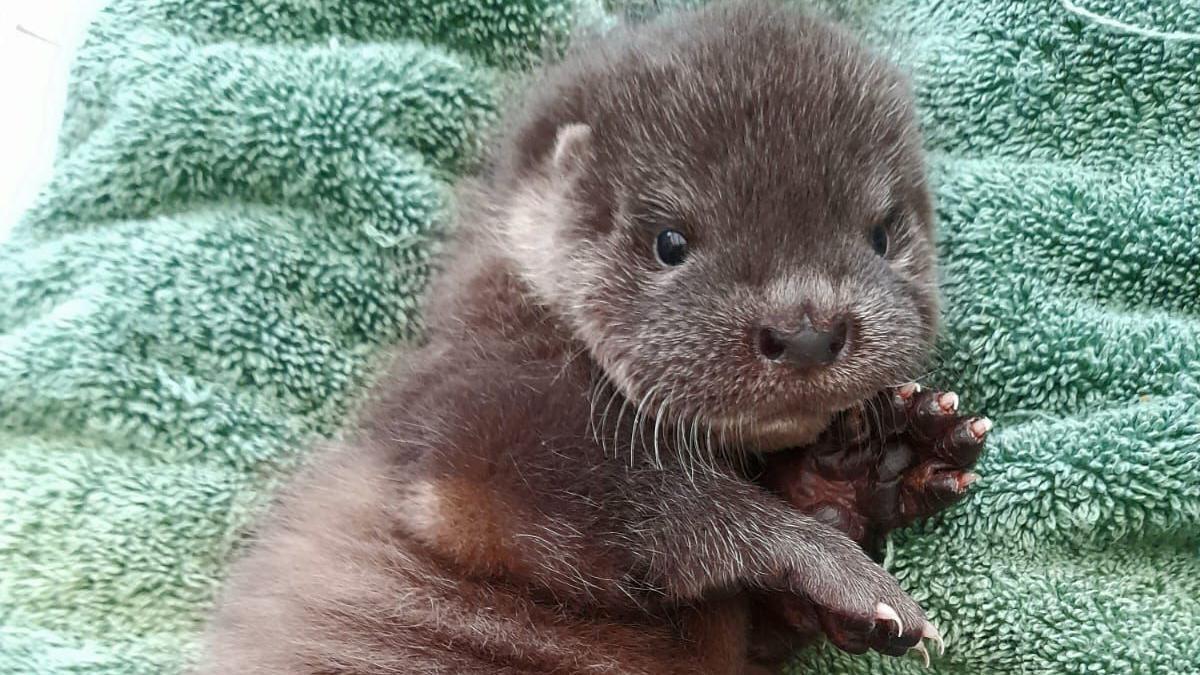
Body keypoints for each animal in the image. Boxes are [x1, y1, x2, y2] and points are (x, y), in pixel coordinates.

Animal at [196, 2, 984, 667]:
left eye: (882, 234)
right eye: (670, 242)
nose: (807, 331)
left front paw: (867, 470)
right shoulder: (470, 419)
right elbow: (656, 503)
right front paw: (833, 562)